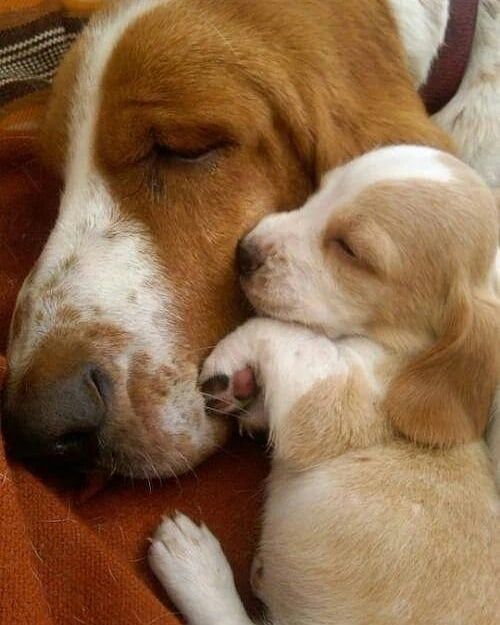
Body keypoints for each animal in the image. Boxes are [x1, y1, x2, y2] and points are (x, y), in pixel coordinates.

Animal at [146, 146, 498, 624]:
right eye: (321, 190)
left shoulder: (333, 396)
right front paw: (243, 390)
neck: (411, 352)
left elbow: (281, 331)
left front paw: (230, 358)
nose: (242, 252)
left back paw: (194, 565)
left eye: (350, 249)